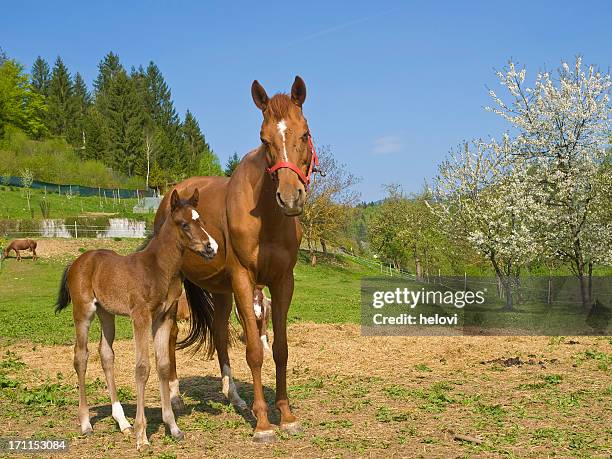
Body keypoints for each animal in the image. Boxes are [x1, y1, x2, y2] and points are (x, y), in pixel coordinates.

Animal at [55, 189, 218, 452]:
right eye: (184, 224)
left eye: (200, 220)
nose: (211, 247)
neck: (158, 268)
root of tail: (78, 261)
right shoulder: (141, 316)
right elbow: (142, 368)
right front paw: (142, 437)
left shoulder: (164, 317)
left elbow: (163, 365)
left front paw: (173, 427)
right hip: (84, 311)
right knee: (81, 357)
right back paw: (86, 423)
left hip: (106, 313)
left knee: (106, 354)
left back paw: (122, 422)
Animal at [155, 77, 314, 444]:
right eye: (264, 139)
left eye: (304, 133)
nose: (290, 197)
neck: (268, 218)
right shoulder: (244, 279)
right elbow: (254, 351)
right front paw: (263, 424)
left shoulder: (283, 282)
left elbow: (280, 349)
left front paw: (286, 416)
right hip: (179, 287)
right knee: (170, 336)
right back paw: (175, 396)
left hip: (221, 289)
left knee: (219, 332)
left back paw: (235, 397)